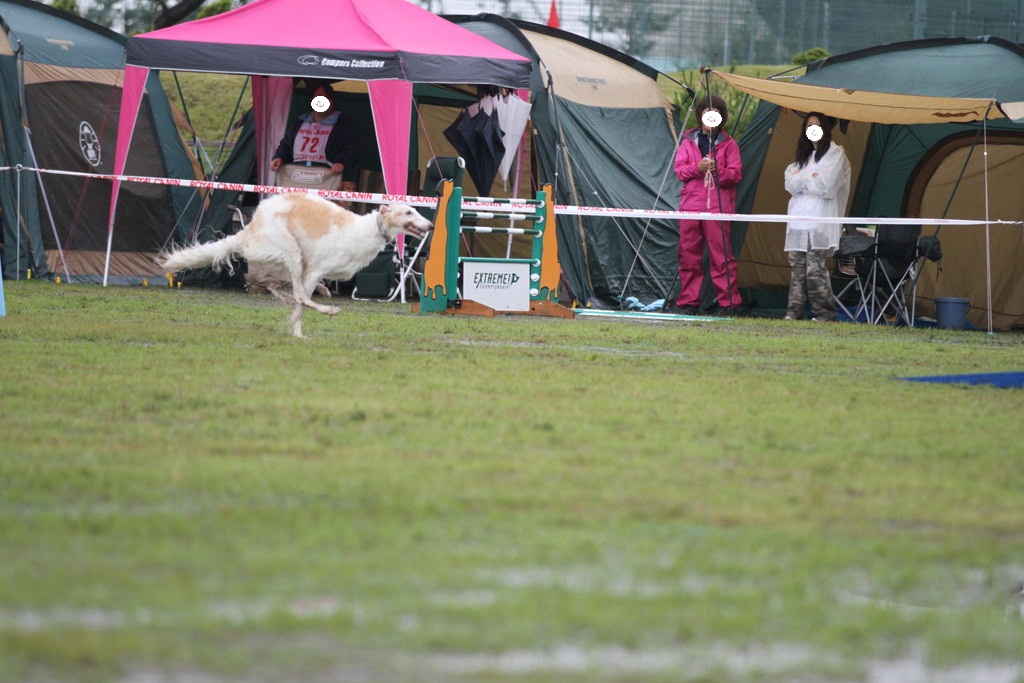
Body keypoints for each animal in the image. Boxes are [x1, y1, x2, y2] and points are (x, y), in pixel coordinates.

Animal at [156, 193, 432, 337]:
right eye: (408, 212)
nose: (430, 226)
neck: (368, 229)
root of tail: (248, 229)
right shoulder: (315, 270)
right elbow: (302, 302)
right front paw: (298, 332)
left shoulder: (311, 271)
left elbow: (299, 301)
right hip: (290, 250)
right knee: (293, 292)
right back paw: (325, 308)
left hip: (285, 260)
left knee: (273, 285)